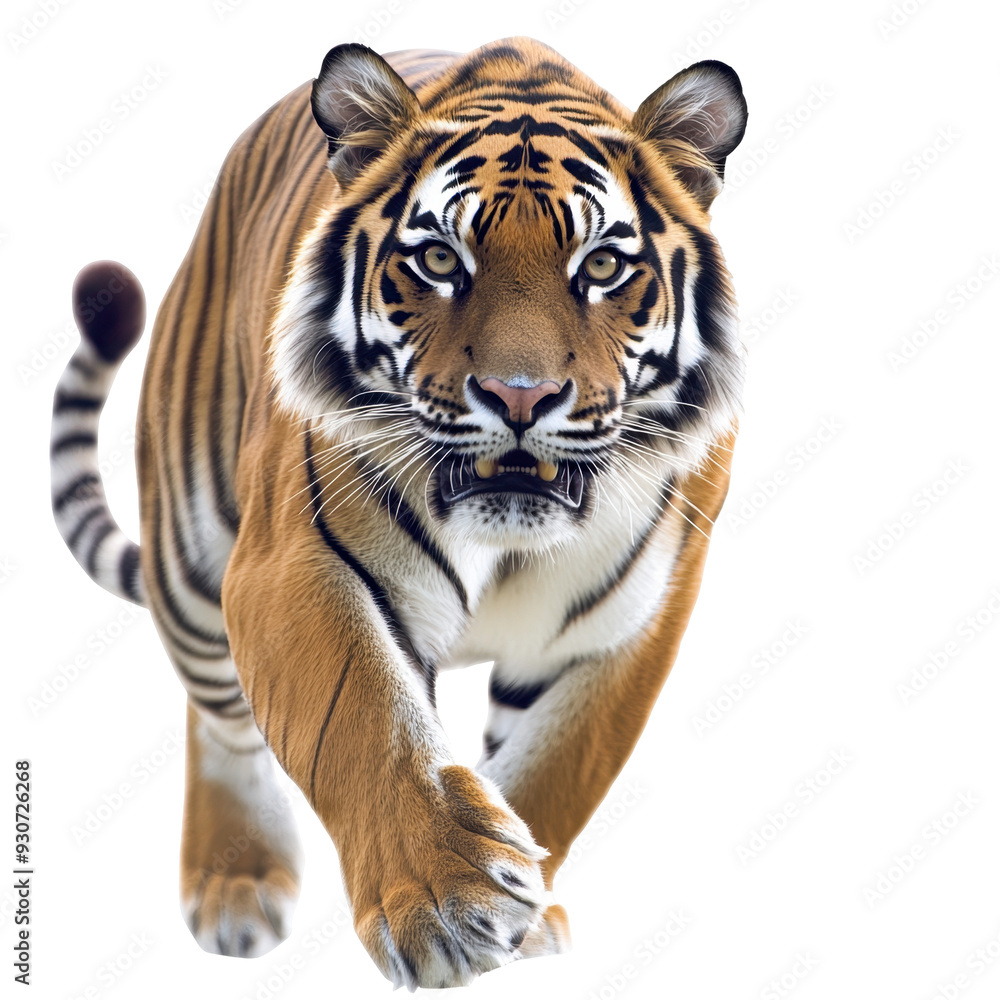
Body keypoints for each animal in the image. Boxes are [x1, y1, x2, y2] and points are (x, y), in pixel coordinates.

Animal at [49, 37, 747, 989]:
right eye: (442, 261)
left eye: (602, 266)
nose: (519, 396)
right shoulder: (292, 564)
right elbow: (366, 721)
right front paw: (448, 906)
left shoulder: (629, 626)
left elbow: (552, 772)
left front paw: (521, 914)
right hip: (191, 553)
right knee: (219, 711)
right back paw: (236, 881)